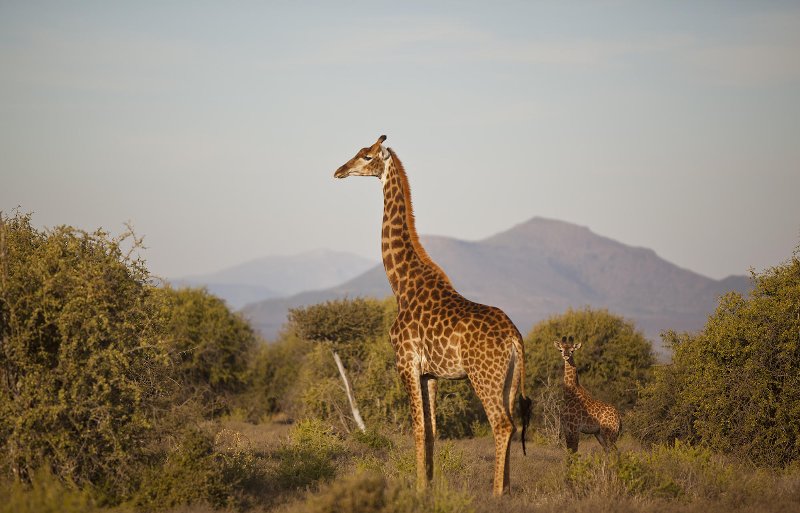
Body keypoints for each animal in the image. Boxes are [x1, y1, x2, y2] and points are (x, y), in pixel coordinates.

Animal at [336, 134, 532, 494]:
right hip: (509, 379)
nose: (339, 170)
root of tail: (515, 338)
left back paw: (497, 493)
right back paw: (508, 488)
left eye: (367, 156)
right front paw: (429, 484)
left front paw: (417, 488)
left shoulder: (406, 363)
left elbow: (416, 429)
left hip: (483, 376)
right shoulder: (430, 374)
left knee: (501, 425)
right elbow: (432, 431)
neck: (401, 284)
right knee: (511, 422)